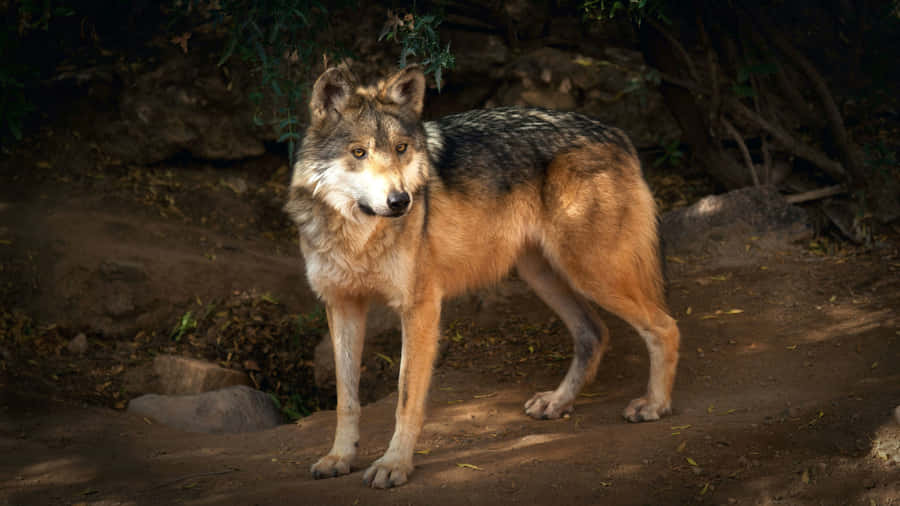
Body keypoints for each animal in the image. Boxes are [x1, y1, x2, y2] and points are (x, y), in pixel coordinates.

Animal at [284, 65, 681, 489]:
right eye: (358, 152)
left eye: (401, 149)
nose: (401, 201)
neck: (358, 236)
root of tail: (617, 134)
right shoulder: (342, 305)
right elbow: (346, 398)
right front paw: (339, 457)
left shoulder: (420, 307)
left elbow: (406, 399)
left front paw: (395, 464)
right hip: (541, 273)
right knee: (595, 333)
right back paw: (558, 402)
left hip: (592, 272)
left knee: (665, 327)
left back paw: (655, 405)